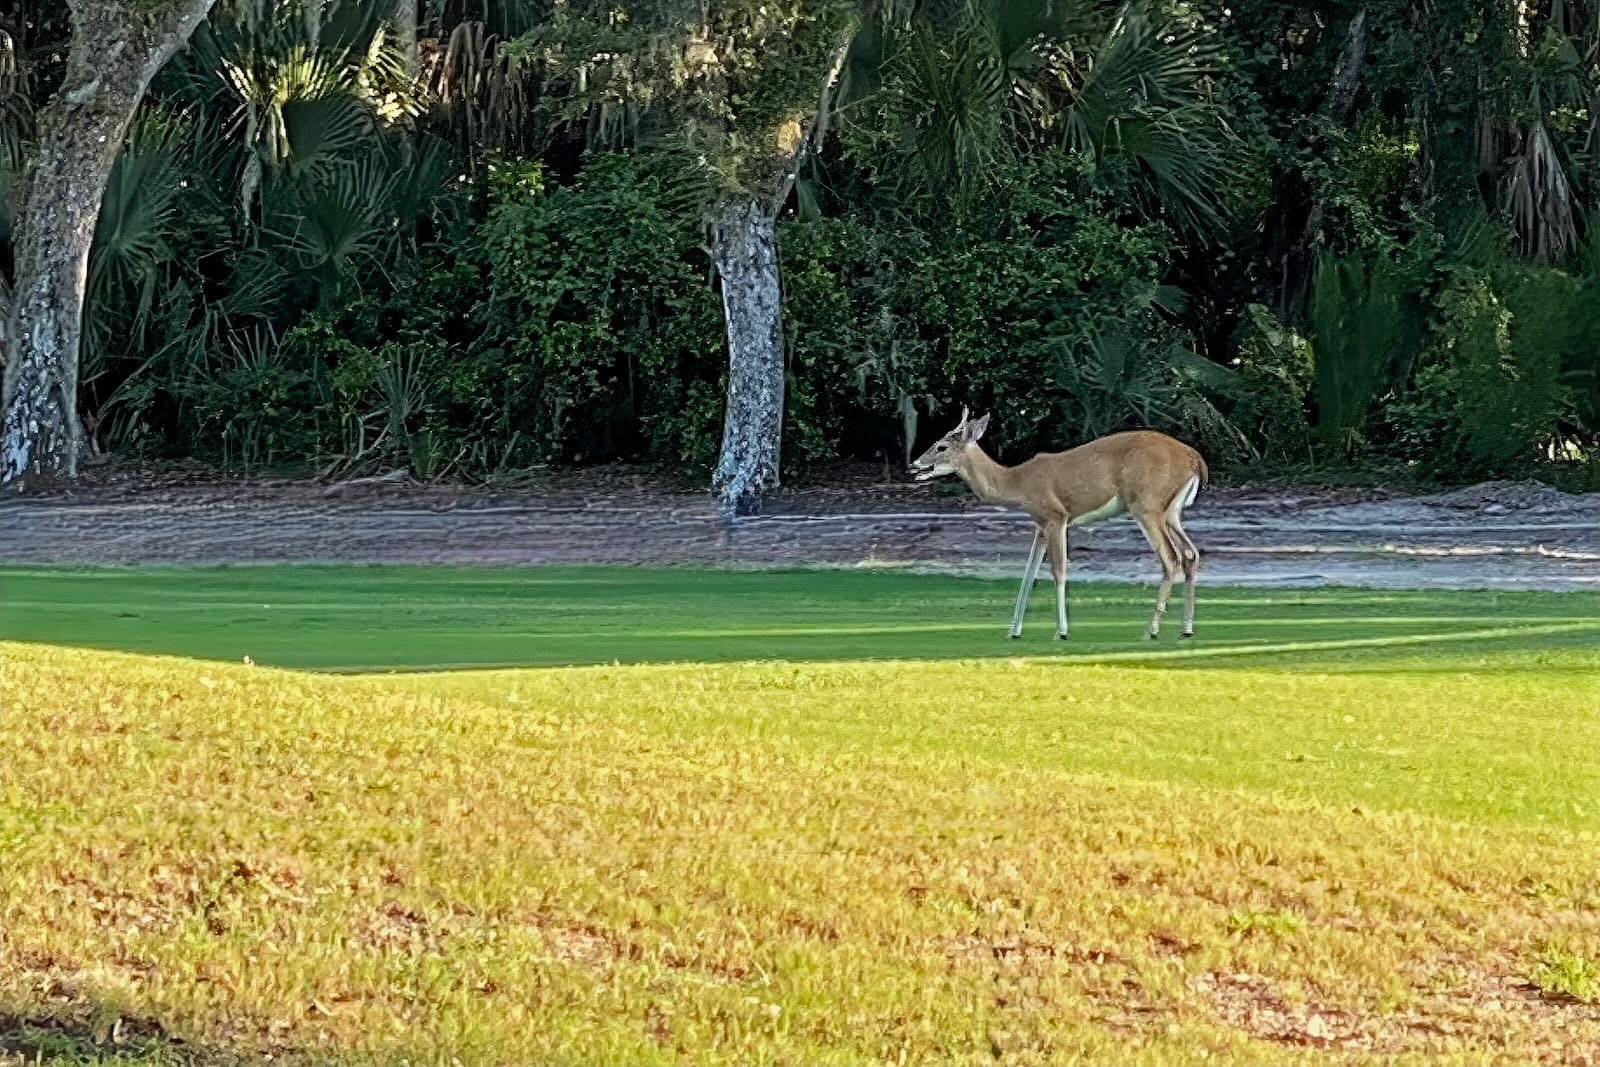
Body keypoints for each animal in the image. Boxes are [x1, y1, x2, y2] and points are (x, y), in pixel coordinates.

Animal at [909, 409, 1207, 641]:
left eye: (941, 446)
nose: (913, 465)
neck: (1017, 483)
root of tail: (1195, 459)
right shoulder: (1040, 525)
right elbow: (1028, 574)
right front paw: (1013, 630)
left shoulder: (1056, 516)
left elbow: (1058, 572)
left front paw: (1061, 631)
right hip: (1170, 511)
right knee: (1191, 553)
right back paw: (1186, 628)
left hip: (1146, 504)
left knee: (1171, 558)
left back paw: (1151, 630)